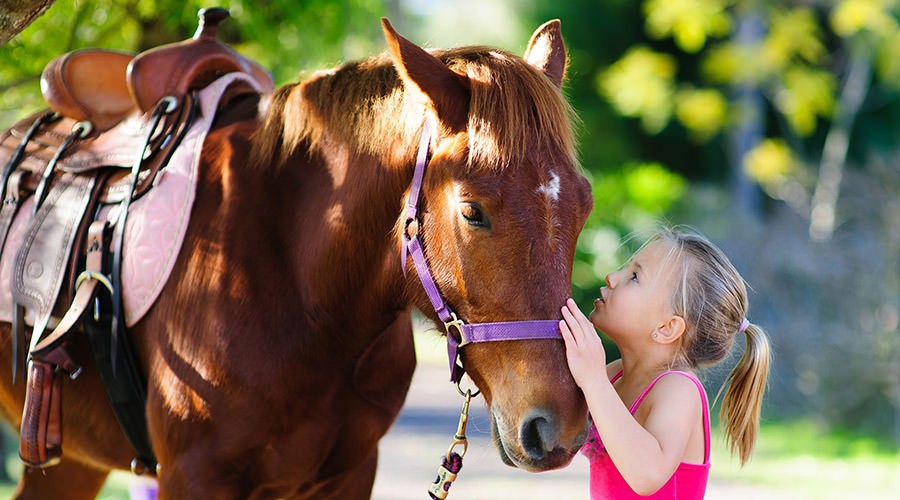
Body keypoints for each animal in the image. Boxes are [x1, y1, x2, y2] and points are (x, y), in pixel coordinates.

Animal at [0, 17, 592, 498]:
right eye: (472, 212)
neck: (303, 291)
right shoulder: (193, 477)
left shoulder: (349, 476)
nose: (558, 427)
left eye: (584, 206)